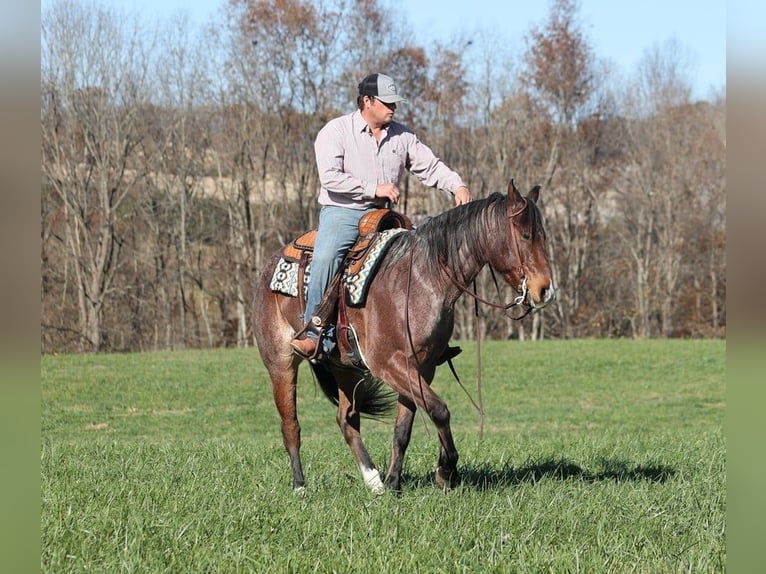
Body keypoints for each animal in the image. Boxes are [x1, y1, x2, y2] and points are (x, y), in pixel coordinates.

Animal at [252, 180, 555, 493]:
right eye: (525, 235)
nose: (545, 290)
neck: (423, 278)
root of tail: (269, 265)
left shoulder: (421, 367)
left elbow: (404, 428)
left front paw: (394, 482)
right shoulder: (388, 365)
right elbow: (439, 410)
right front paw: (445, 471)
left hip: (345, 368)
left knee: (347, 420)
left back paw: (374, 481)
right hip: (281, 364)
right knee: (291, 425)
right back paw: (300, 486)